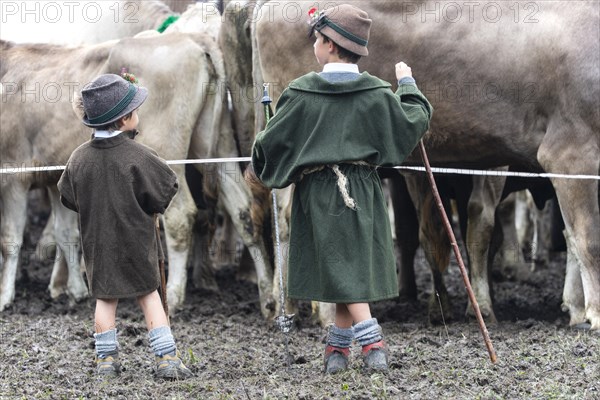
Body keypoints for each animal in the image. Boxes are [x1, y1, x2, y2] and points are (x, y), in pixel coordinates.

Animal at [0, 31, 276, 318]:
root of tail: (194, 38)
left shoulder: (13, 175)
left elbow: (10, 239)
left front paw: (5, 297)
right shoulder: (55, 178)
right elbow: (65, 233)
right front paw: (75, 291)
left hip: (169, 154)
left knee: (181, 216)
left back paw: (174, 295)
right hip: (219, 147)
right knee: (244, 211)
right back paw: (268, 296)